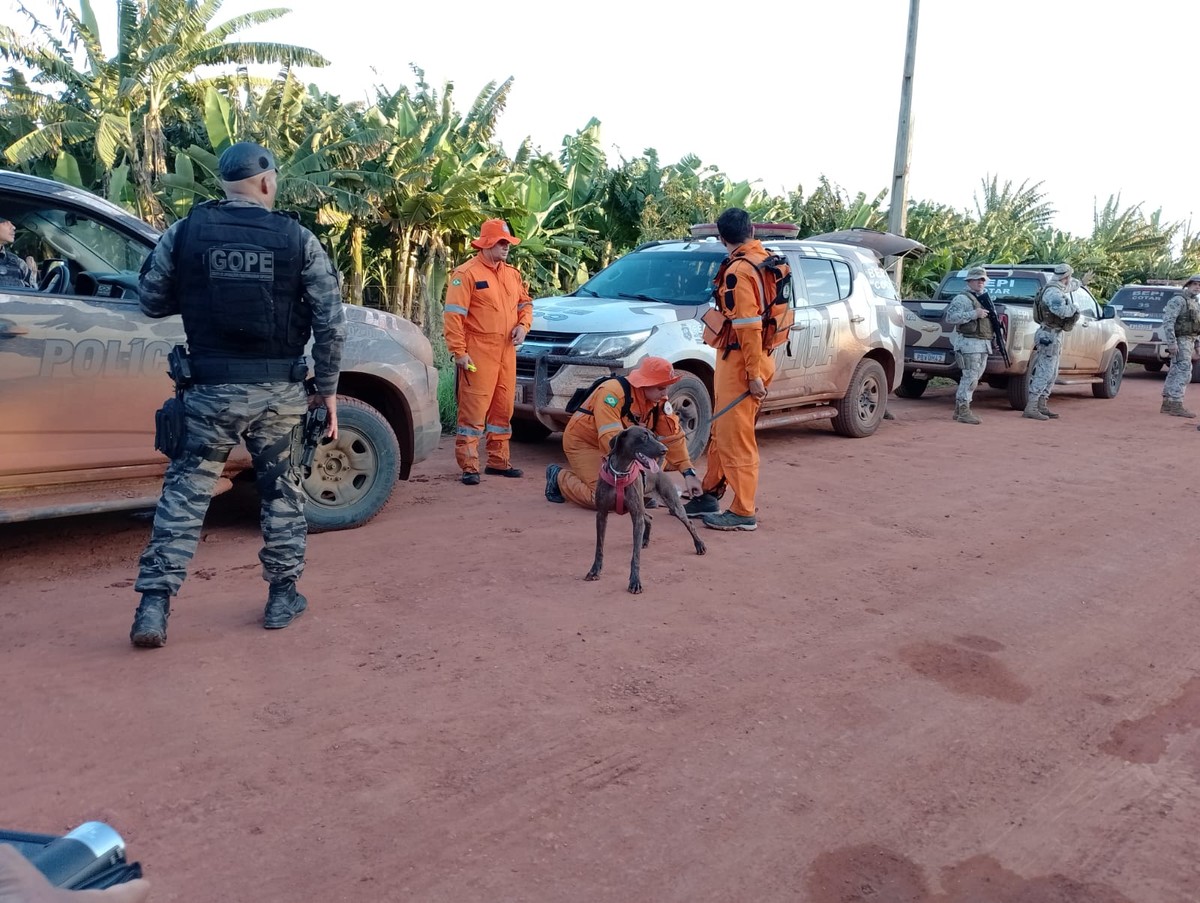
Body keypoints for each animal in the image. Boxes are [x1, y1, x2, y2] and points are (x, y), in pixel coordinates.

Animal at [585, 425, 705, 593]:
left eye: (654, 436)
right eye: (643, 437)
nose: (665, 450)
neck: (620, 473)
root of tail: (659, 470)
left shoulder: (636, 516)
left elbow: (635, 556)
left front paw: (635, 581)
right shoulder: (602, 514)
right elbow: (599, 547)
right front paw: (595, 570)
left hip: (673, 505)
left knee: (690, 524)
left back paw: (699, 545)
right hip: (643, 507)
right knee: (649, 518)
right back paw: (645, 540)